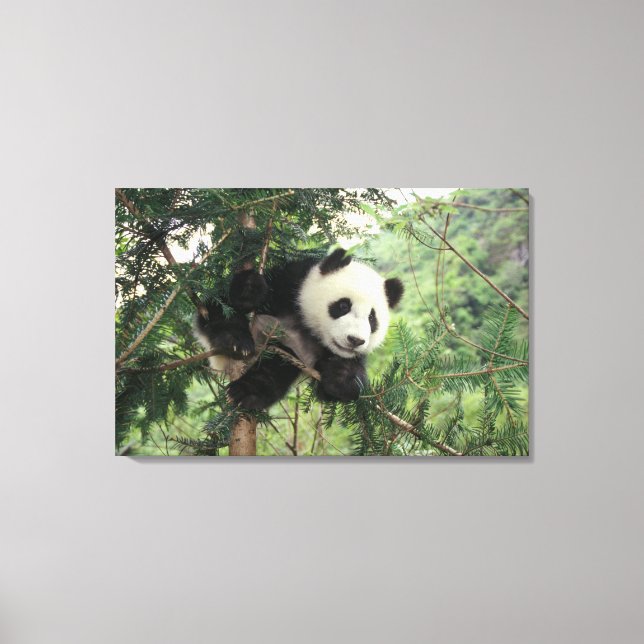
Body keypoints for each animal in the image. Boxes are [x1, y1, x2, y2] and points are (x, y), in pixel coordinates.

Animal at [194, 248, 404, 410]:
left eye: (372, 319)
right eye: (343, 306)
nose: (355, 340)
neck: (307, 326)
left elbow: (338, 387)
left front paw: (341, 376)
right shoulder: (290, 284)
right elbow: (229, 301)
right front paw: (250, 291)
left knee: (277, 366)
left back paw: (247, 392)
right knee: (220, 308)